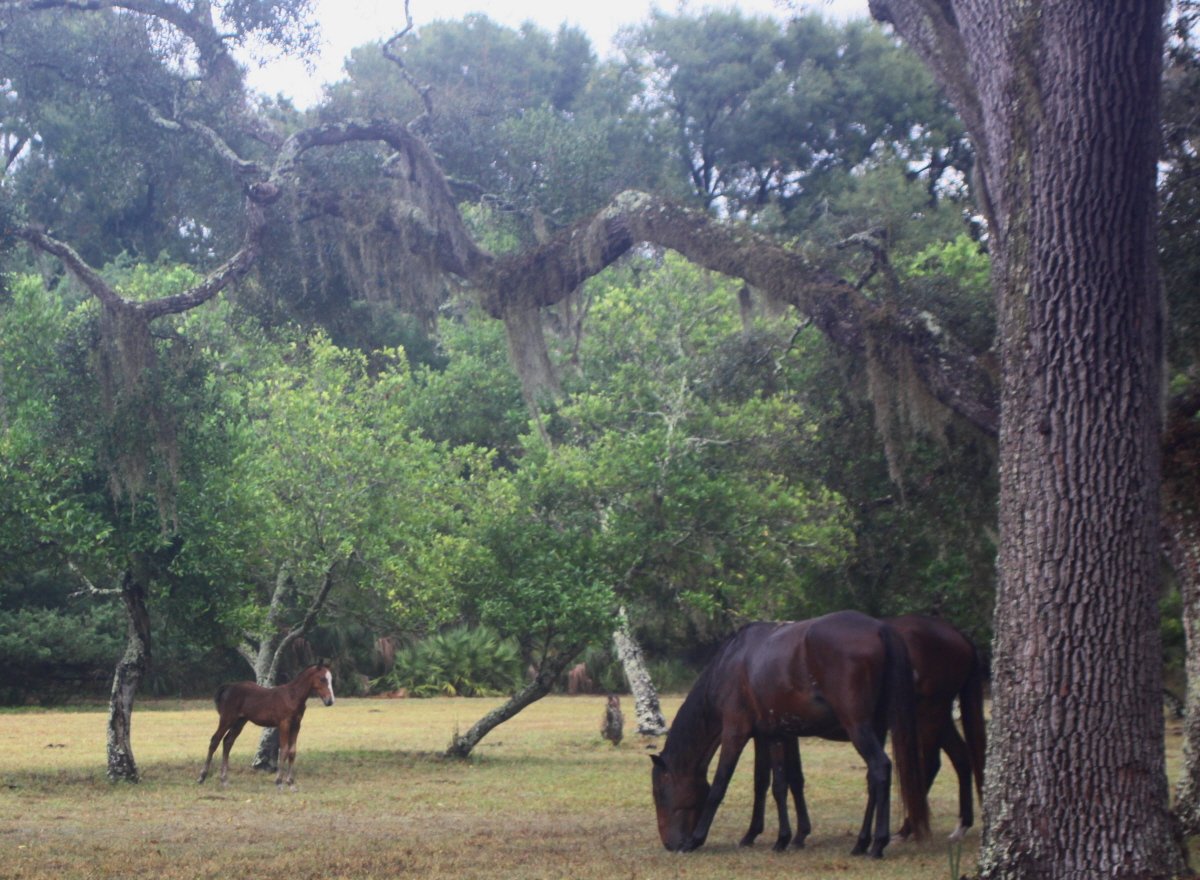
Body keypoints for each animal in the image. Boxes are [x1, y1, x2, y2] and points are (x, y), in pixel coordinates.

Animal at [196, 662, 336, 792]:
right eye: (322, 679)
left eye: (331, 679)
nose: (330, 701)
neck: (293, 696)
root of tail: (228, 687)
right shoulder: (284, 724)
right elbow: (284, 750)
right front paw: (279, 783)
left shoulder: (296, 725)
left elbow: (292, 751)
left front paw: (291, 784)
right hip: (227, 719)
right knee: (215, 740)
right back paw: (202, 777)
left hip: (239, 722)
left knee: (227, 742)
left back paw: (224, 780)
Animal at [648, 607, 926, 854]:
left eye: (661, 794)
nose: (670, 844)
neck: (729, 664)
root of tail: (879, 627)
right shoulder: (772, 735)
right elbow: (776, 783)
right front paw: (779, 837)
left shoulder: (736, 732)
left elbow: (720, 785)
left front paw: (696, 840)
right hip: (875, 728)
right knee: (872, 778)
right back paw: (861, 843)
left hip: (858, 727)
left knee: (880, 767)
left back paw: (877, 844)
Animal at [739, 614, 984, 849]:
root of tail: (959, 636)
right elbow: (784, 777)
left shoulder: (775, 732)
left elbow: (770, 778)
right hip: (939, 718)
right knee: (961, 757)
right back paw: (959, 826)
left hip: (928, 717)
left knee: (929, 764)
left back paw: (905, 831)